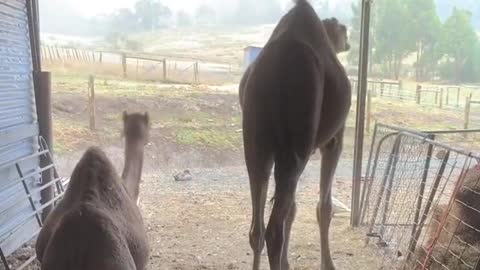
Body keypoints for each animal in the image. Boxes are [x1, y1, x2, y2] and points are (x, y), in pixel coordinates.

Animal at [239, 1, 348, 268]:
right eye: (344, 31)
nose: (348, 42)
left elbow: (294, 209)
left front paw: (289, 262)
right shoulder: (334, 140)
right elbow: (324, 207)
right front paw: (328, 264)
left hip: (256, 143)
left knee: (257, 229)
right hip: (294, 147)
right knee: (272, 232)